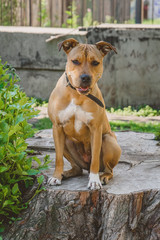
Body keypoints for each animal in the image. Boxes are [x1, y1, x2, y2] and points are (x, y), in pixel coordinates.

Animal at [47, 38, 121, 190]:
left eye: (95, 63)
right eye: (75, 61)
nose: (85, 77)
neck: (76, 95)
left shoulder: (96, 129)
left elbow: (95, 161)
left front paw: (94, 181)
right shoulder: (57, 127)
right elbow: (58, 158)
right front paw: (56, 176)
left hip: (108, 140)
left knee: (108, 169)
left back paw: (103, 176)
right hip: (66, 141)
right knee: (77, 168)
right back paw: (65, 174)